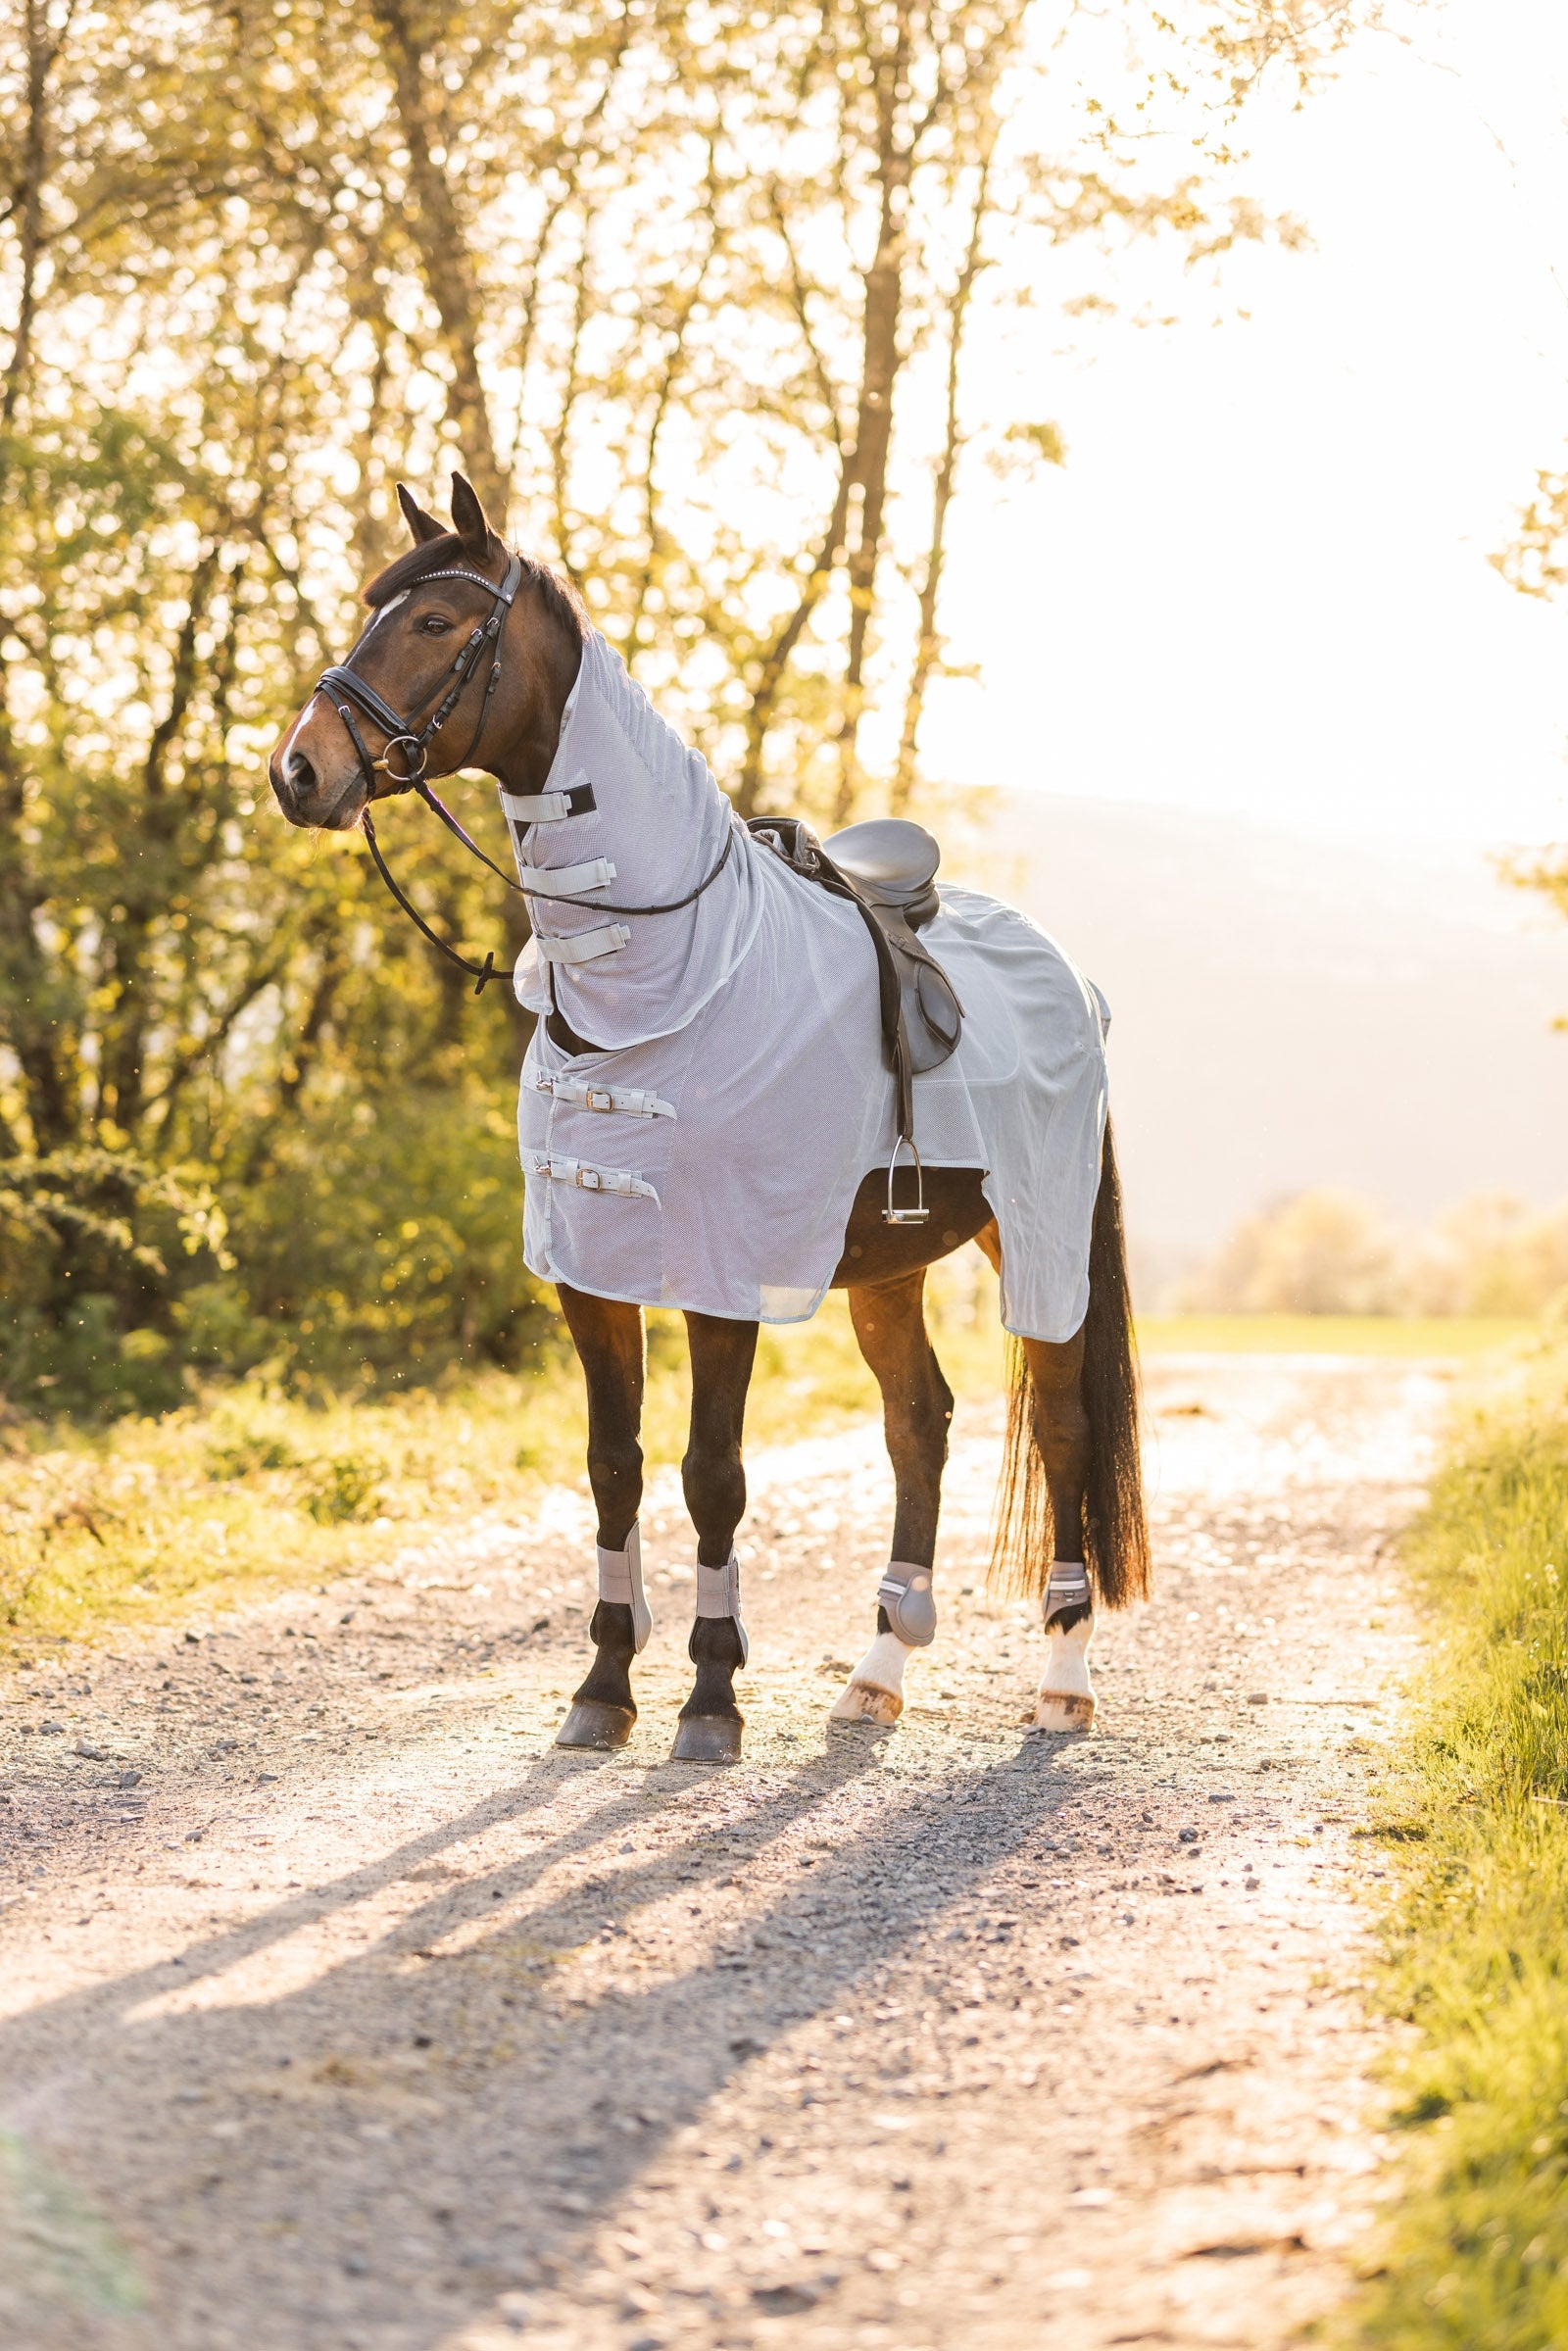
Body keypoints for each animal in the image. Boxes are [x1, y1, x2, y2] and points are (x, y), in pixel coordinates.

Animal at [268, 473, 1149, 1762]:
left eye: (433, 621)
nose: (299, 770)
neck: (672, 979)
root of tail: (1067, 974)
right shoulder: (590, 1272)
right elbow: (614, 1467)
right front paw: (602, 1687)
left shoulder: (723, 1275)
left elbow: (712, 1473)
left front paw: (711, 1697)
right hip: (889, 1263)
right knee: (918, 1421)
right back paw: (876, 1670)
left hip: (1038, 1234)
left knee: (1066, 1425)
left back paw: (1066, 1678)